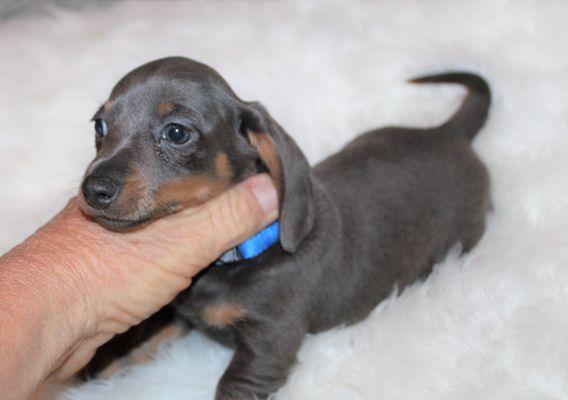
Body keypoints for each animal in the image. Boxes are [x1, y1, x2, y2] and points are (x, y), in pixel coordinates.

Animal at [77, 57, 490, 400]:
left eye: (177, 133)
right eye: (100, 125)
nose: (93, 190)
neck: (240, 254)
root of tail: (448, 133)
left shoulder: (268, 344)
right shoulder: (180, 309)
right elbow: (144, 337)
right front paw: (103, 361)